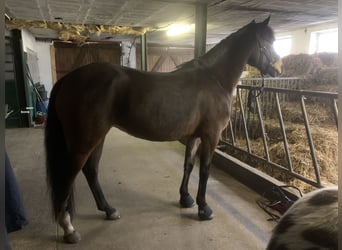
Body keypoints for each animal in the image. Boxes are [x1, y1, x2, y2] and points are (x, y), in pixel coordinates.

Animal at [44, 16, 280, 243]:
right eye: (268, 42)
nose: (278, 69)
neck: (215, 79)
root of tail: (69, 78)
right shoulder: (211, 136)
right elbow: (204, 171)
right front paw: (204, 209)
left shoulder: (194, 137)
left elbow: (188, 165)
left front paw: (185, 198)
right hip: (84, 142)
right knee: (68, 177)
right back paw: (69, 228)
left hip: (98, 137)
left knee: (91, 171)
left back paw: (109, 210)